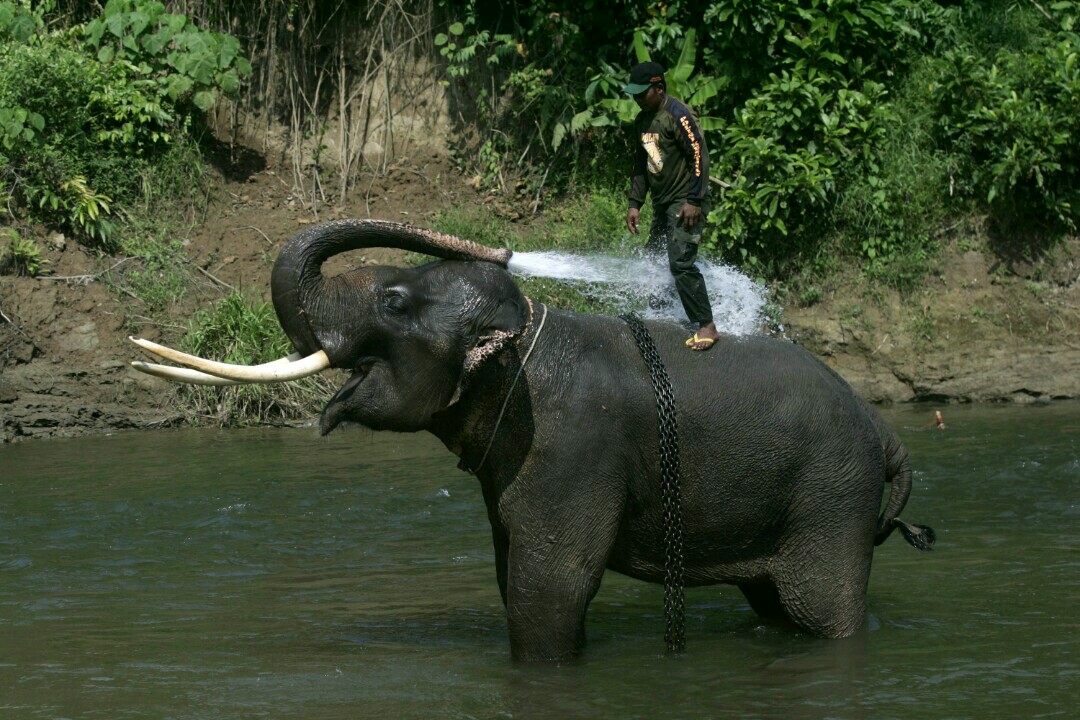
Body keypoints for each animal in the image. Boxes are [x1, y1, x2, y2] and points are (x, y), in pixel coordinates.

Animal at [128, 220, 937, 664]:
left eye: (394, 301)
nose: (507, 249)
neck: (526, 336)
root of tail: (888, 435)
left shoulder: (571, 451)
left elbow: (547, 588)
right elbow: (510, 573)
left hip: (831, 500)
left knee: (820, 611)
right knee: (775, 608)